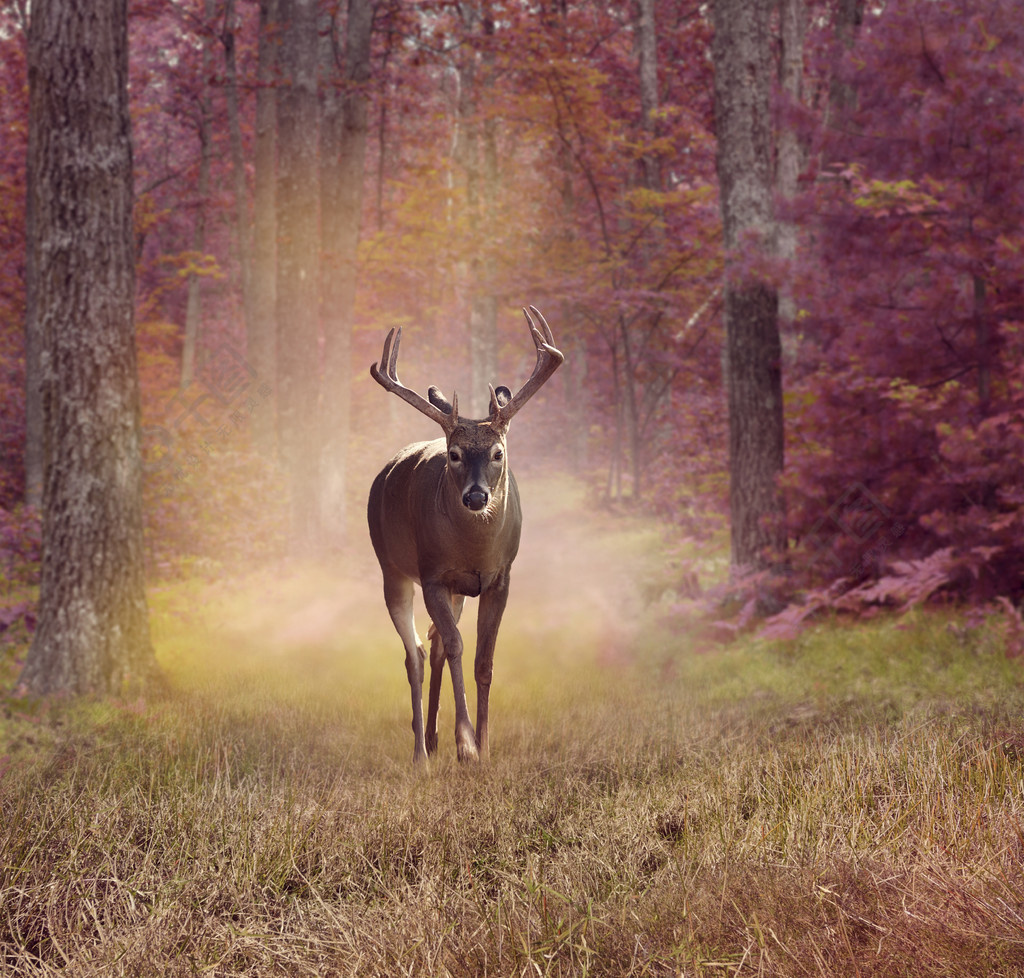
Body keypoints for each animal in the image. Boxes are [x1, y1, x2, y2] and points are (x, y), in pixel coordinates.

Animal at [366, 305, 565, 766]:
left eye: (498, 452)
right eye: (454, 454)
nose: (476, 497)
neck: (475, 550)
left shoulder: (500, 578)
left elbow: (483, 660)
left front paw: (484, 747)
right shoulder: (434, 575)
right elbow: (458, 649)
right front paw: (467, 744)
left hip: (456, 590)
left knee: (435, 644)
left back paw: (435, 739)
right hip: (392, 568)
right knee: (416, 655)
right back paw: (422, 754)